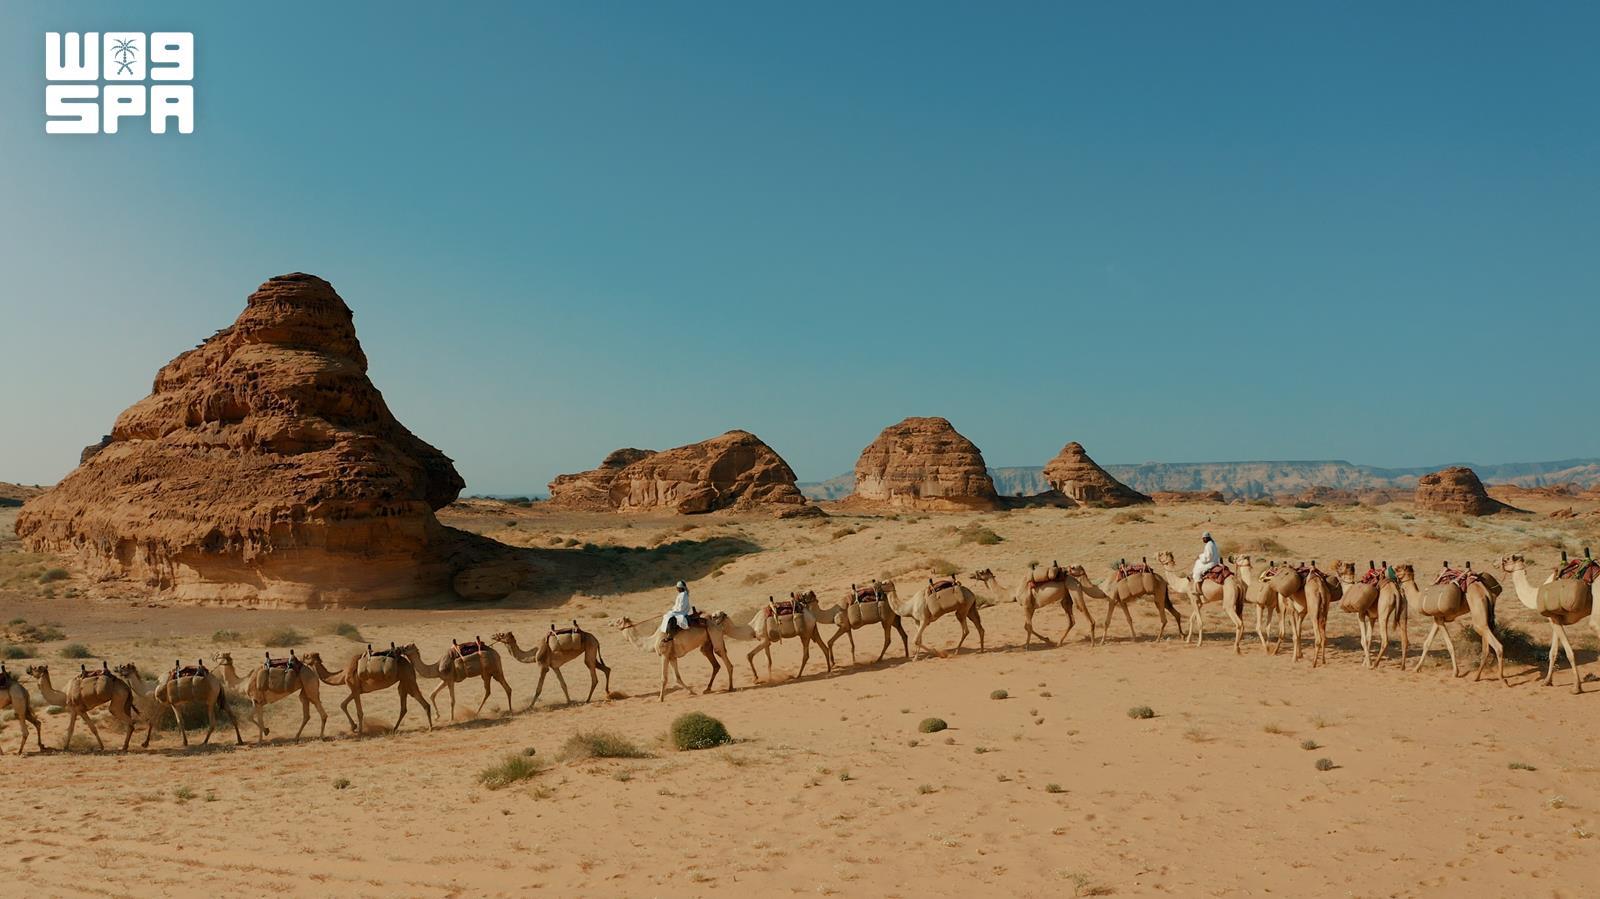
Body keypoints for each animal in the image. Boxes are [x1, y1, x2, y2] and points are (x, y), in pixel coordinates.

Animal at [306, 644, 434, 735]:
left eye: (307, 656)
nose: (302, 658)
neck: (343, 674)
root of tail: (408, 663)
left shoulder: (354, 688)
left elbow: (359, 711)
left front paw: (360, 731)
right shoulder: (357, 690)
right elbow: (343, 704)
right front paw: (353, 727)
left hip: (408, 679)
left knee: (422, 701)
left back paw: (430, 728)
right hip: (403, 682)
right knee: (404, 706)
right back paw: (395, 728)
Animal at [1499, 554, 1593, 692]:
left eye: (1506, 559)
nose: (1495, 563)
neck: (1536, 595)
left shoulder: (1554, 619)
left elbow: (1569, 652)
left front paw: (1577, 687)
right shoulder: (1555, 619)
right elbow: (1552, 652)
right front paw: (1547, 681)